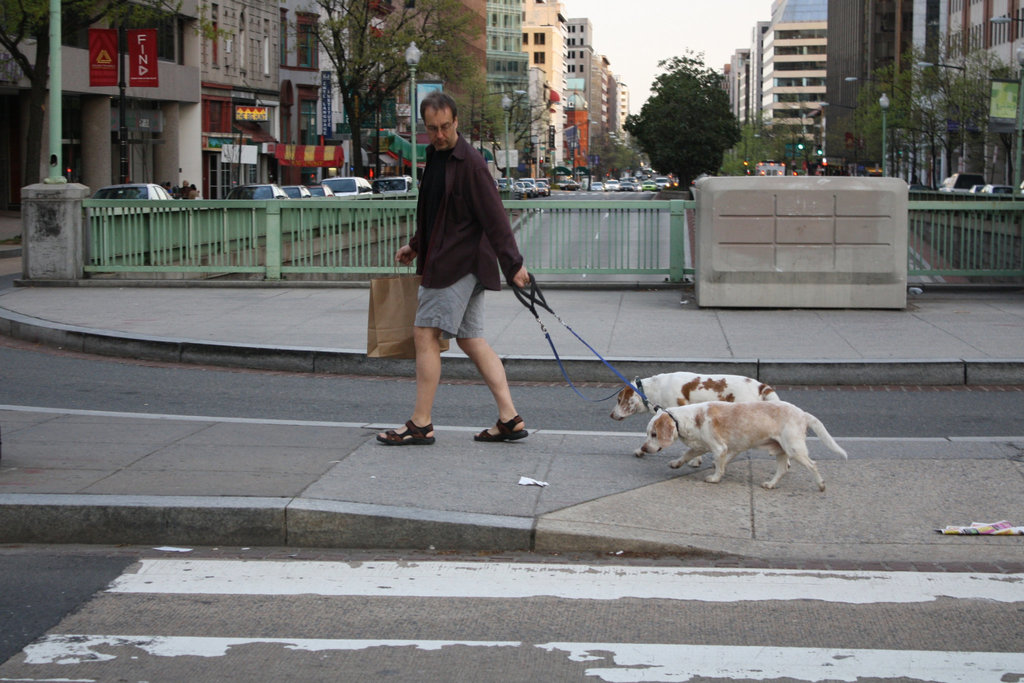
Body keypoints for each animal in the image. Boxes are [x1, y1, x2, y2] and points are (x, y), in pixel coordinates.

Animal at [630, 401, 847, 491]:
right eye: (648, 434)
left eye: (654, 434)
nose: (644, 448)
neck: (687, 419)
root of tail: (803, 414)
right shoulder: (700, 446)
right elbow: (686, 454)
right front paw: (676, 463)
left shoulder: (719, 448)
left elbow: (719, 465)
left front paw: (715, 478)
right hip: (781, 450)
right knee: (782, 469)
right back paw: (770, 484)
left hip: (794, 449)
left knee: (812, 465)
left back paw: (821, 485)